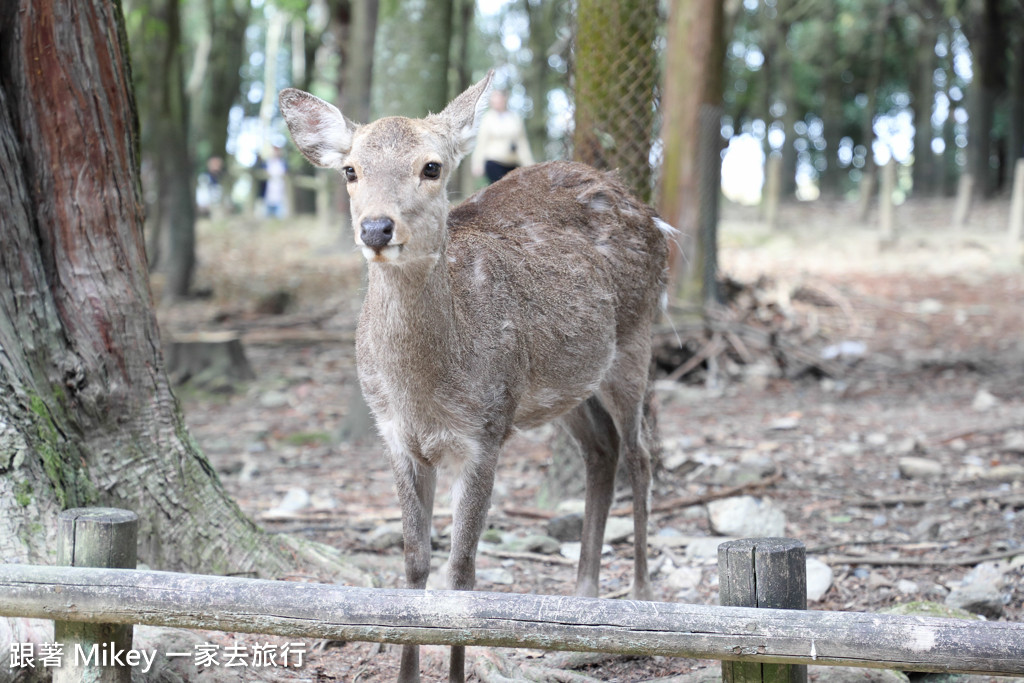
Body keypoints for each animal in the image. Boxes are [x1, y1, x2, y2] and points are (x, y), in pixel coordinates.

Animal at [280, 70, 675, 683]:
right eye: (350, 170)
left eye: (432, 167)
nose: (376, 228)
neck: (424, 391)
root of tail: (652, 214)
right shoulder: (395, 434)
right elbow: (415, 560)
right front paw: (407, 674)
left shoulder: (486, 431)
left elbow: (462, 569)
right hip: (562, 388)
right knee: (602, 451)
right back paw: (584, 601)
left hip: (634, 341)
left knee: (641, 454)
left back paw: (638, 597)